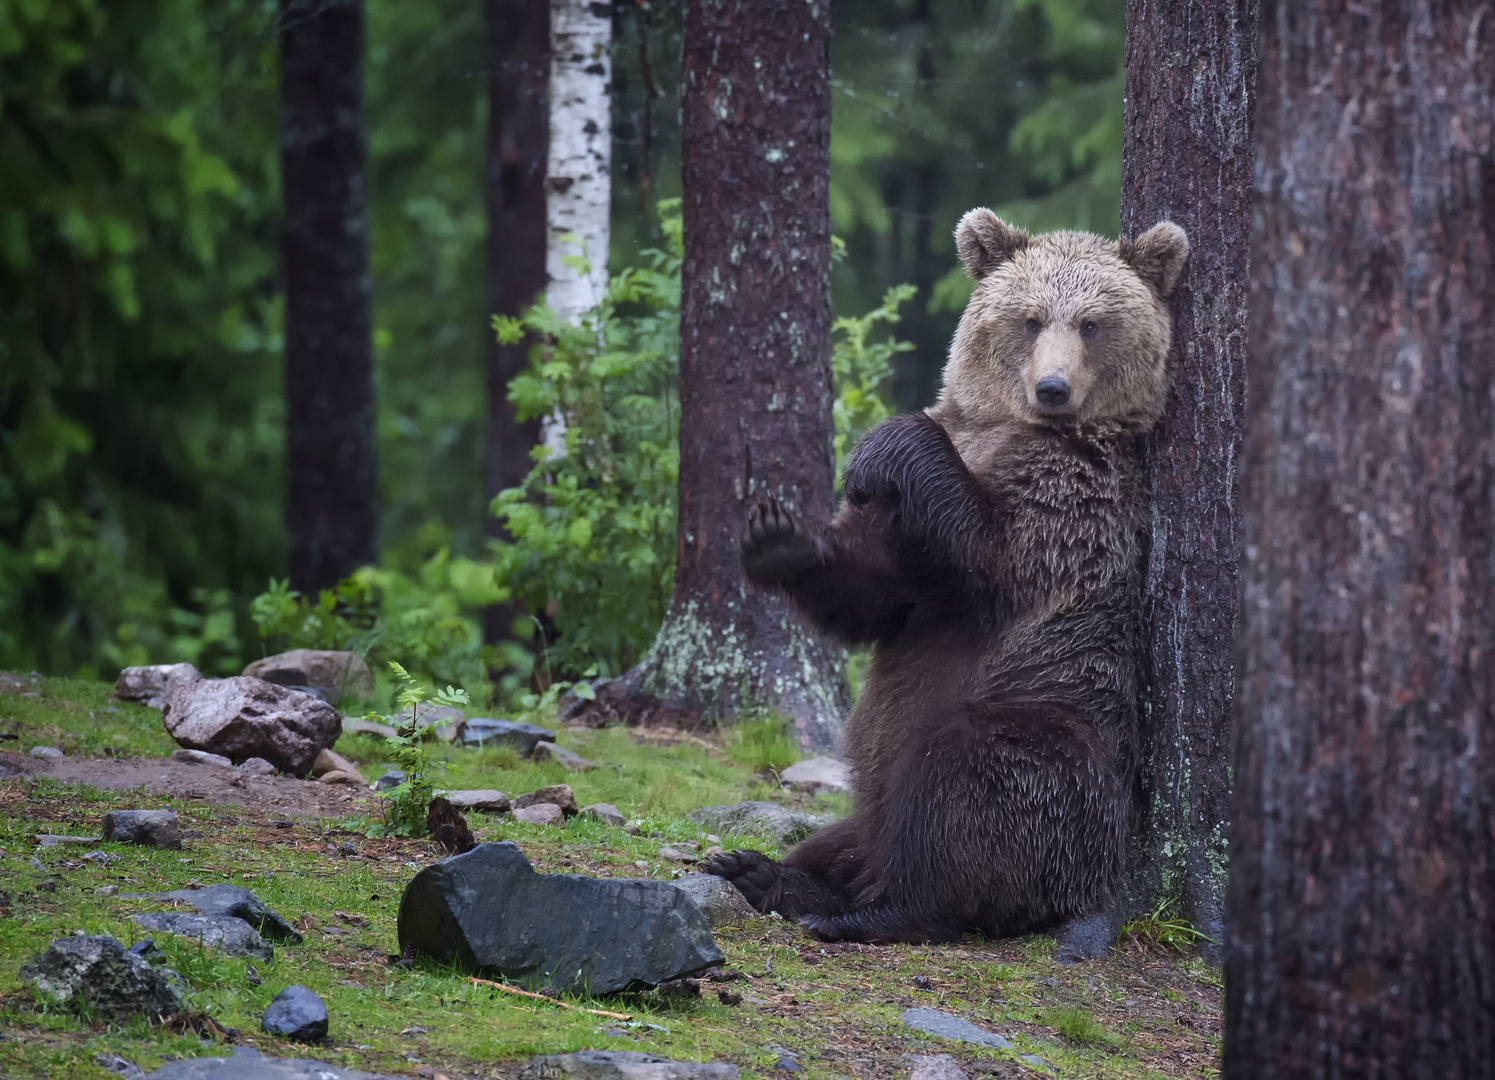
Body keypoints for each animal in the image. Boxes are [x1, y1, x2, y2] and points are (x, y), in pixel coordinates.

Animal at [702, 206, 1190, 939]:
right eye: (1030, 318)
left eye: (1092, 323)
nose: (1052, 388)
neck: (1008, 428)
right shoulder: (921, 510)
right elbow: (881, 594)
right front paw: (778, 538)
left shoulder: (1074, 499)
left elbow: (988, 559)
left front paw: (877, 445)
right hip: (864, 822)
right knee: (836, 839)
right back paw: (768, 874)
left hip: (1054, 739)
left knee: (959, 792)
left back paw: (871, 912)